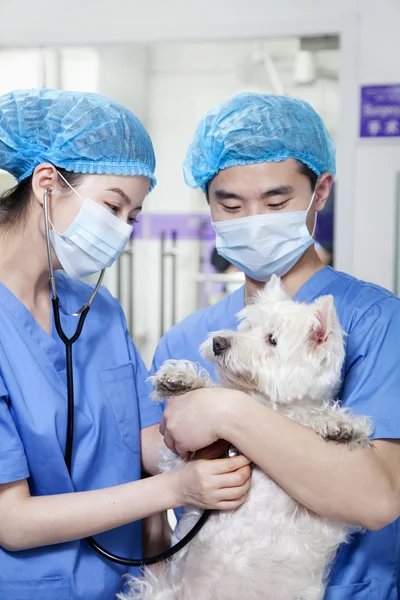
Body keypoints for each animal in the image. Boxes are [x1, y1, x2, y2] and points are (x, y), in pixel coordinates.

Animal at [120, 276, 370, 600]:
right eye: (247, 327)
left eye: (272, 339)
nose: (218, 342)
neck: (266, 406)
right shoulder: (181, 457)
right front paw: (182, 380)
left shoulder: (325, 514)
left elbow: (308, 417)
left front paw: (339, 424)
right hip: (159, 590)